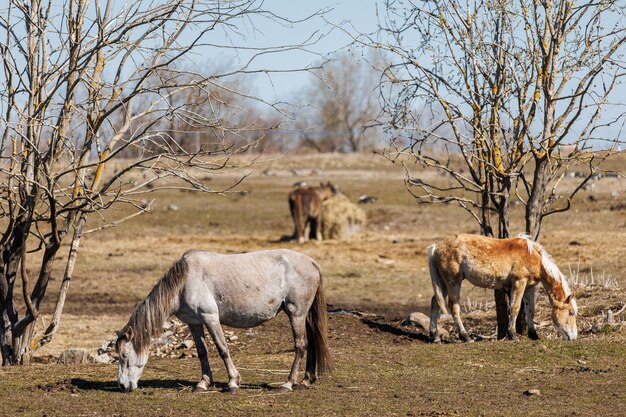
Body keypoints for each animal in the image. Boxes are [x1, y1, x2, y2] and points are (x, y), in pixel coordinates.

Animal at [116, 249, 332, 392]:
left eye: (124, 355)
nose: (122, 385)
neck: (184, 282)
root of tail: (310, 261)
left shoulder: (210, 318)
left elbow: (222, 349)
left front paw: (233, 382)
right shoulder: (194, 323)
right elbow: (202, 352)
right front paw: (203, 383)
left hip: (296, 314)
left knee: (300, 345)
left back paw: (288, 383)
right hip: (304, 315)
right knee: (312, 343)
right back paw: (306, 380)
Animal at [426, 234, 576, 342]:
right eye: (571, 313)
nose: (574, 337)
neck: (534, 256)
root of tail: (435, 247)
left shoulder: (530, 287)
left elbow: (530, 310)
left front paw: (534, 335)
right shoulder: (519, 282)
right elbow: (515, 307)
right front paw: (513, 335)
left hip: (443, 284)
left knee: (435, 302)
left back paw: (435, 336)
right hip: (453, 283)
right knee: (454, 307)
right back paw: (465, 337)